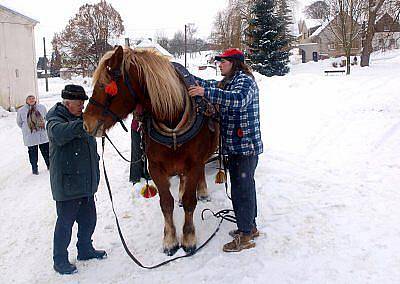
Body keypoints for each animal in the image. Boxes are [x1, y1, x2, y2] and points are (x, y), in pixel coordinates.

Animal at [82, 46, 219, 255]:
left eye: (104, 85)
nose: (86, 123)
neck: (172, 119)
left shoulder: (194, 163)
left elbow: (190, 201)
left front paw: (188, 238)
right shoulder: (155, 167)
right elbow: (166, 203)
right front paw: (170, 240)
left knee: (200, 171)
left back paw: (202, 191)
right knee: (182, 178)